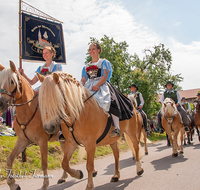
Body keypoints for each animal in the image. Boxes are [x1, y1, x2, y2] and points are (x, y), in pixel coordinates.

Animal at [0, 61, 68, 190]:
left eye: (12, 81)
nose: (1, 103)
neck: (28, 112)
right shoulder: (22, 141)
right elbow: (9, 159)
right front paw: (13, 184)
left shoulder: (42, 141)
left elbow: (44, 163)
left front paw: (45, 185)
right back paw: (63, 177)